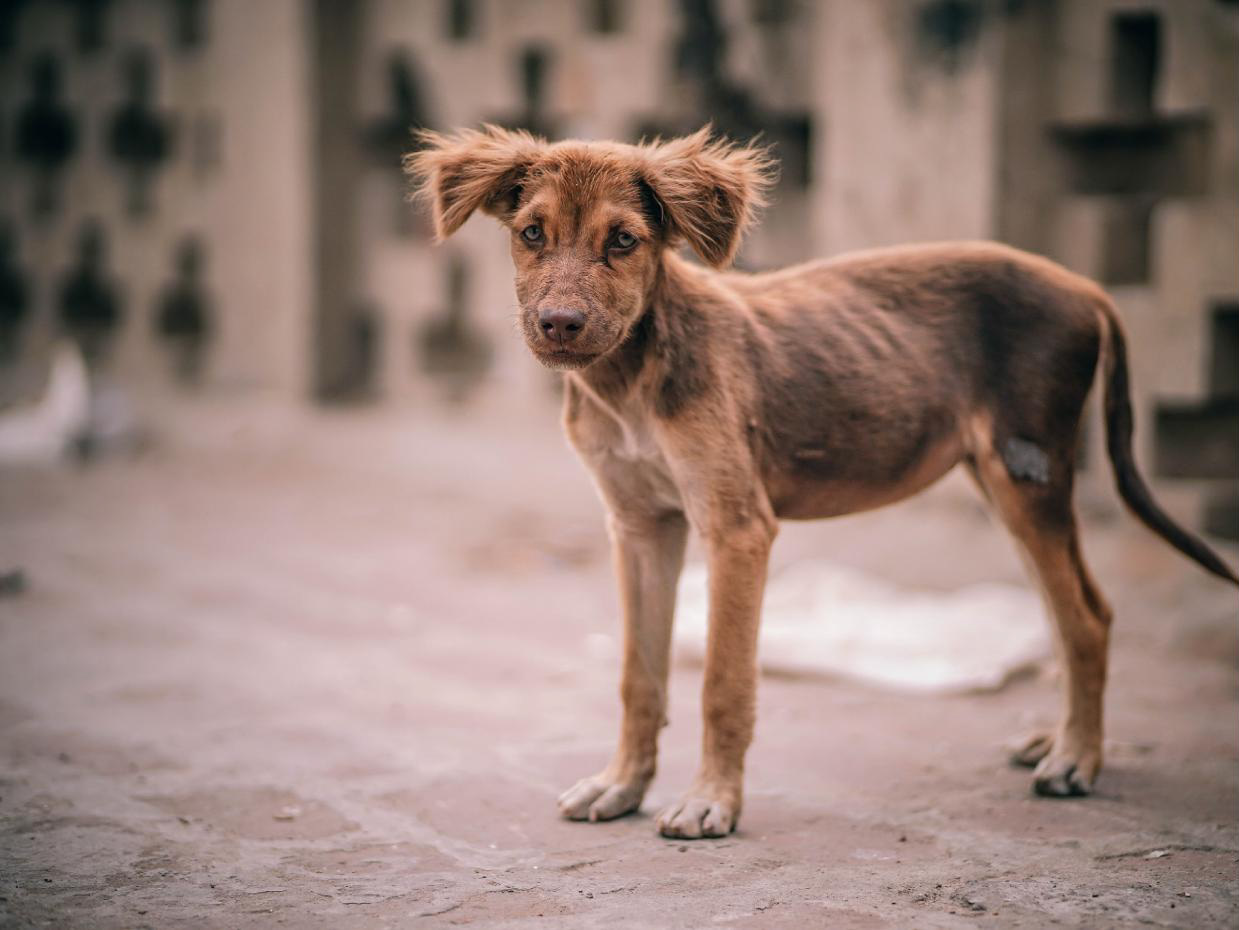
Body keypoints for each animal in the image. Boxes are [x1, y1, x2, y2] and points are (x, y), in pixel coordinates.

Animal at [408, 125, 1239, 842]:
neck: (631, 379)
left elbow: (721, 683)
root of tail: (1083, 287)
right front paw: (621, 785)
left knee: (1087, 618)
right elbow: (637, 676)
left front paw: (711, 801)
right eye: (531, 234)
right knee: (1064, 612)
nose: (559, 324)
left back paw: (1075, 758)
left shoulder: (736, 527)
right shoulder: (639, 527)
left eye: (623, 240)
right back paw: (1054, 740)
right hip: (1003, 483)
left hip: (1026, 473)